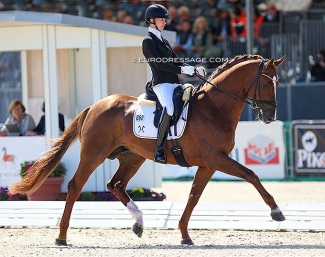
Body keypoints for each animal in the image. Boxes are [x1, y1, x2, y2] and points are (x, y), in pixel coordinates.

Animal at [9, 54, 284, 244]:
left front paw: (184, 234)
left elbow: (193, 196)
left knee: (115, 185)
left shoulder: (208, 164)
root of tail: (95, 106)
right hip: (94, 155)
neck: (214, 108)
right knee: (76, 186)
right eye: (266, 85)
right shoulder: (217, 158)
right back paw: (62, 236)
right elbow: (251, 175)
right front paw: (276, 211)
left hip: (132, 157)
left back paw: (139, 223)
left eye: (278, 84)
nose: (270, 117)